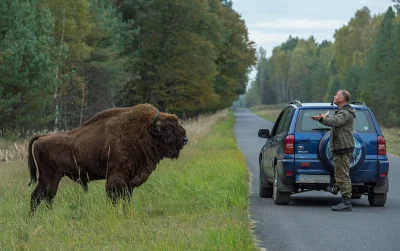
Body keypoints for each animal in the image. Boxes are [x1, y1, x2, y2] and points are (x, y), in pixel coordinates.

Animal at [28, 103, 188, 215]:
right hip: (52, 176)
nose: (185, 139)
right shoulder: (116, 178)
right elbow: (114, 197)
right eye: (167, 129)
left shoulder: (130, 181)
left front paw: (125, 213)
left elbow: (126, 198)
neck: (144, 132)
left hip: (45, 178)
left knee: (37, 196)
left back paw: (33, 218)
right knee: (47, 196)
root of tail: (41, 138)